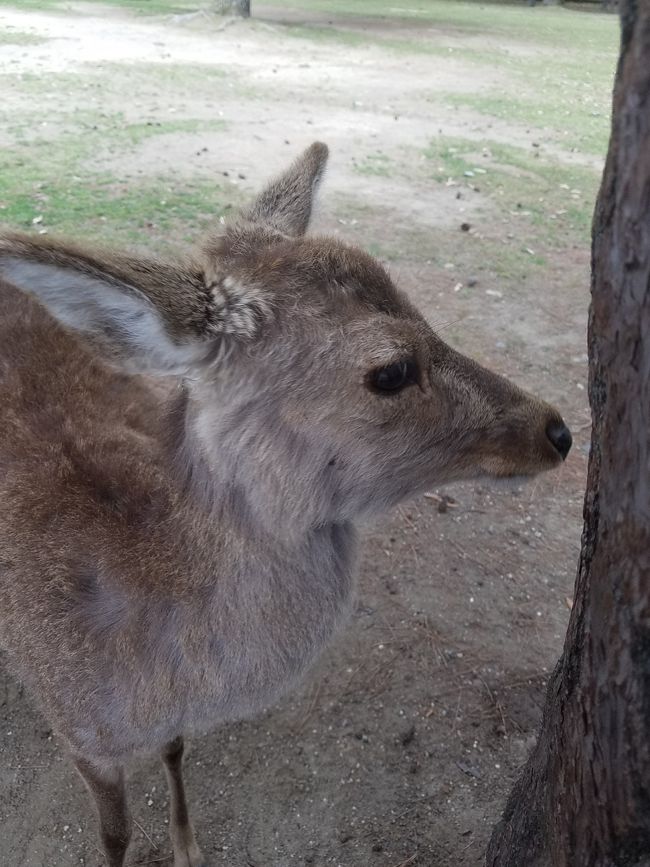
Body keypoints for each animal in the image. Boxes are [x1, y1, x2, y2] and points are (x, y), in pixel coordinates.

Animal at [0, 144, 568, 867]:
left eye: (420, 306)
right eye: (390, 371)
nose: (557, 430)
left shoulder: (164, 725)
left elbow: (177, 750)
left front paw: (189, 847)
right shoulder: (77, 730)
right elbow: (115, 834)